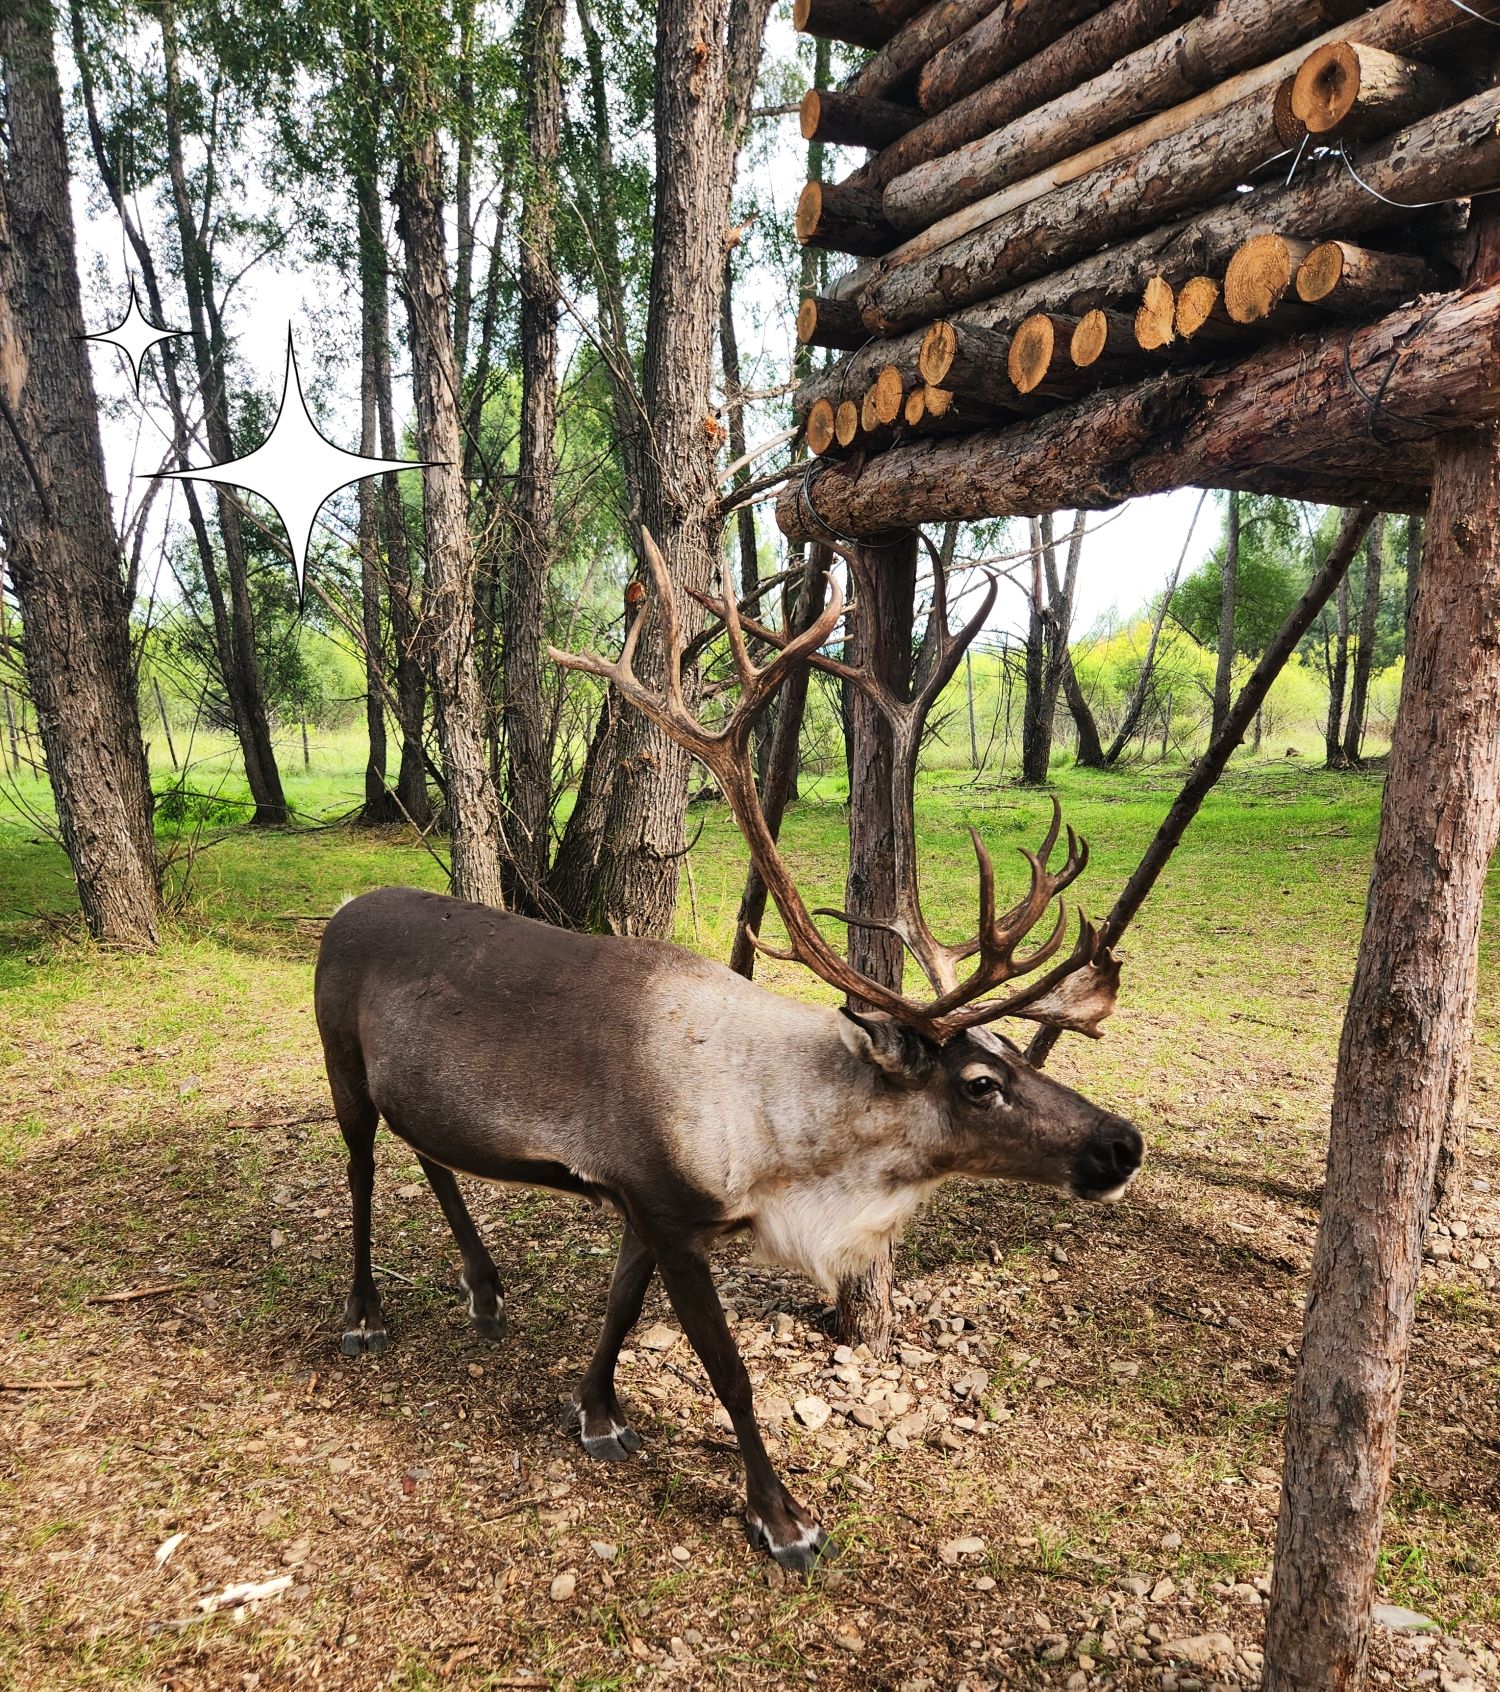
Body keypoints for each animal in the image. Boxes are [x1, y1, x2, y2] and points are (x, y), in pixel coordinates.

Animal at [314, 533, 1142, 1572]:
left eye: (1016, 1056)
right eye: (983, 1082)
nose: (1122, 1144)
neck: (784, 1152)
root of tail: (339, 910)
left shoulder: (640, 1204)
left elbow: (619, 1311)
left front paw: (594, 1412)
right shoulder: (668, 1209)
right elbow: (728, 1370)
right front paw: (782, 1517)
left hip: (417, 1090)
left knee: (429, 1151)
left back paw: (486, 1288)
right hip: (340, 1060)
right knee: (359, 1170)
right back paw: (362, 1315)